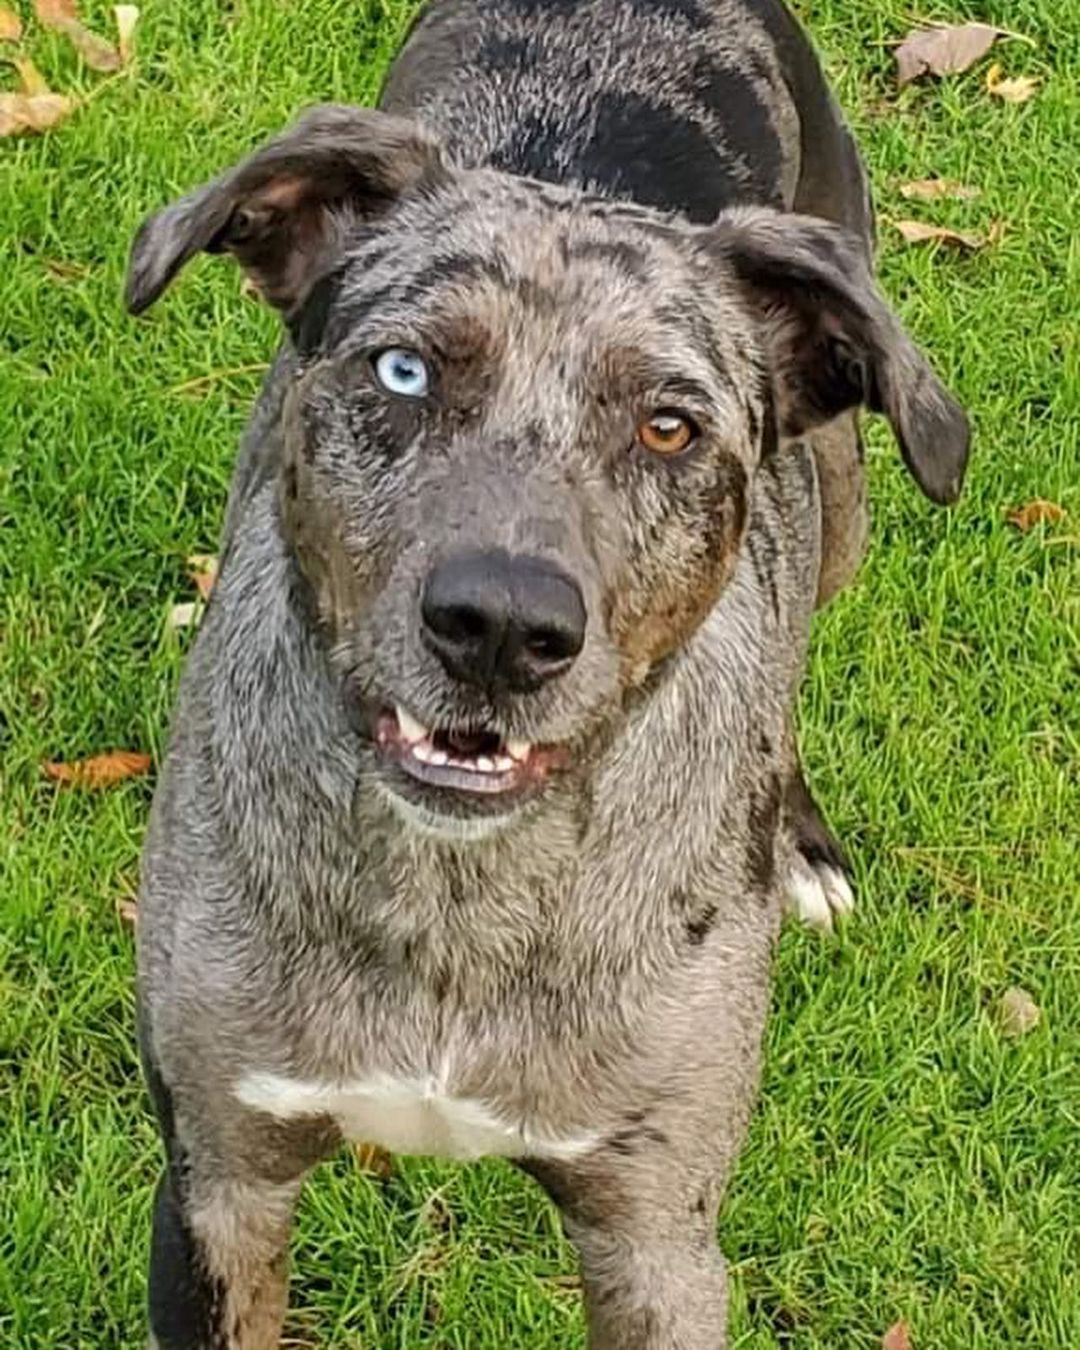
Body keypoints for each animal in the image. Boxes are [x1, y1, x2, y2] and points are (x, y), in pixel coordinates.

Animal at [126, 5, 972, 1344]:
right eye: (404, 372)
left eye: (670, 426)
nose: (501, 628)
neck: (460, 895)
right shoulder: (221, 1182)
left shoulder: (655, 1238)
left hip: (847, 494)